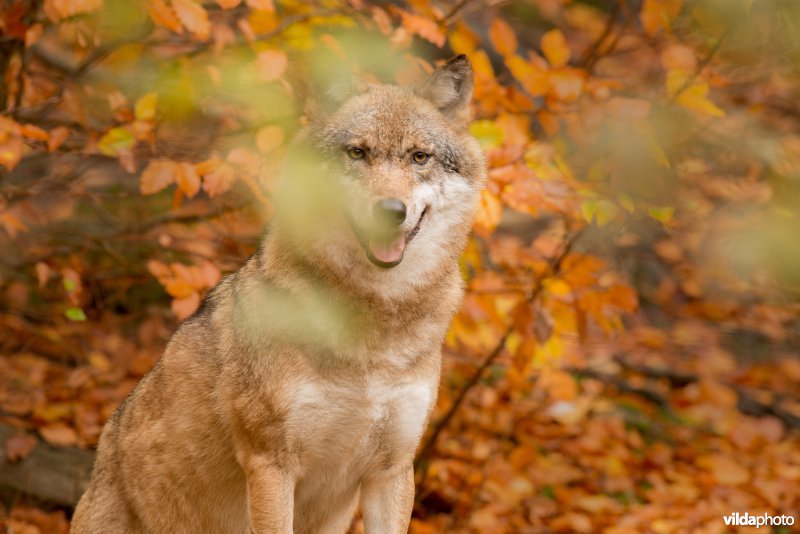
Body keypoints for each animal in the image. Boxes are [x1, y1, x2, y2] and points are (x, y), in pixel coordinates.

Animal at [71, 54, 486, 534]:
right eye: (357, 153)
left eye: (420, 157)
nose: (391, 212)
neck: (371, 328)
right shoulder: (271, 464)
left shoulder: (392, 471)